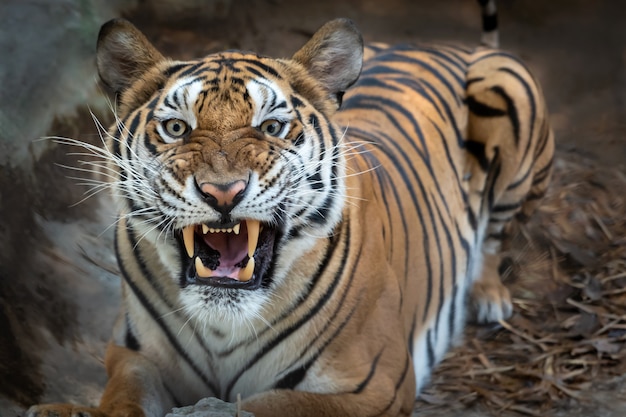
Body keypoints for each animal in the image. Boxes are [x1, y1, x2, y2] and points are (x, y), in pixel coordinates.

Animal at [28, 0, 552, 416]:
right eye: (176, 128)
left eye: (272, 127)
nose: (223, 192)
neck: (223, 327)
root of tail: (448, 45)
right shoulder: (133, 354)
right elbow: (123, 396)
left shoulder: (372, 387)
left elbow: (262, 405)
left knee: (496, 237)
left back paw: (487, 297)